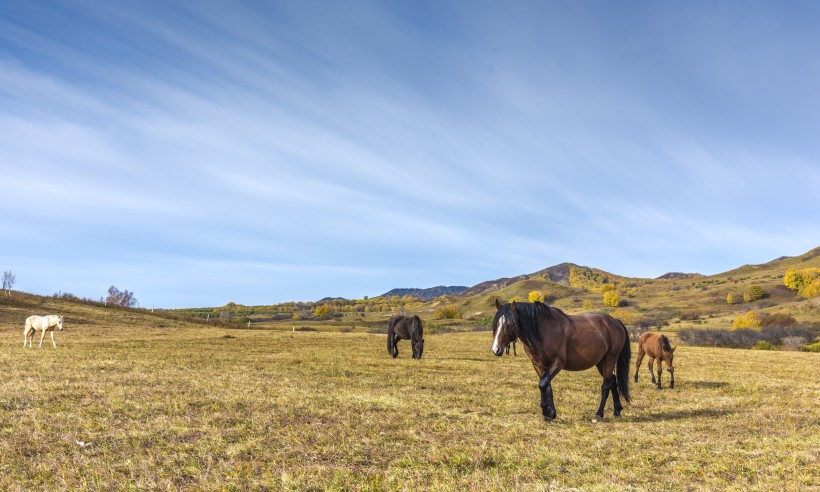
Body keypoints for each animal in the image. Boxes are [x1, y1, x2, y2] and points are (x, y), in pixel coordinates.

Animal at [490, 300, 632, 422]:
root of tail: (615, 322)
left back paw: (598, 415)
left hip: (610, 359)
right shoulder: (538, 365)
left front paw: (546, 411)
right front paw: (550, 414)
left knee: (606, 385)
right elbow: (546, 386)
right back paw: (617, 411)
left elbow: (542, 384)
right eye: (496, 324)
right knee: (612, 381)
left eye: (510, 324)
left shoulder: (557, 363)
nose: (496, 349)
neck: (544, 329)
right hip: (600, 363)